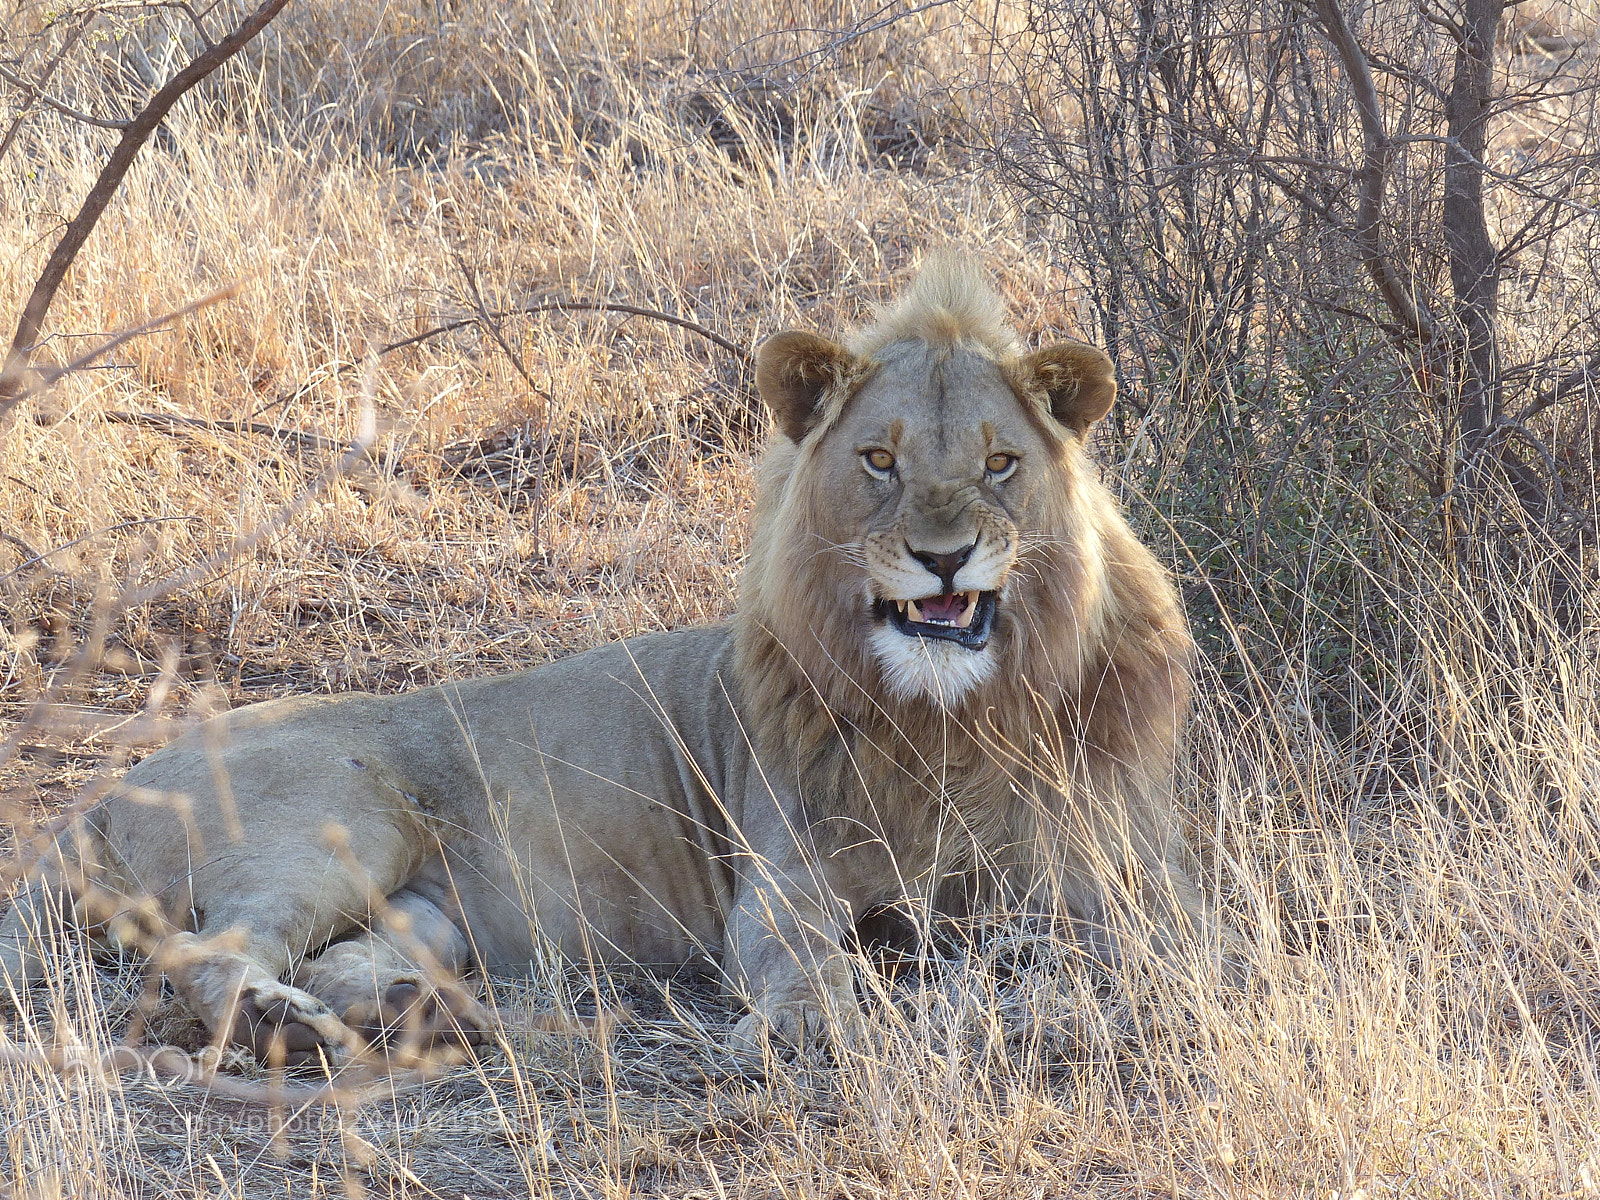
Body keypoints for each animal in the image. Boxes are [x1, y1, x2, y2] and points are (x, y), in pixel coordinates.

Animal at [0, 253, 1230, 1064]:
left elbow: (1151, 955)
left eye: (1000, 463)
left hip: (423, 913)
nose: (941, 557)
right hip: (328, 828)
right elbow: (807, 964)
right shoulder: (779, 885)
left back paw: (410, 1017)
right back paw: (282, 1025)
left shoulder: (1121, 873)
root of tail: (101, 795)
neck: (948, 720)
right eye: (878, 461)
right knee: (202, 956)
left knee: (330, 963)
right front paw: (816, 1025)